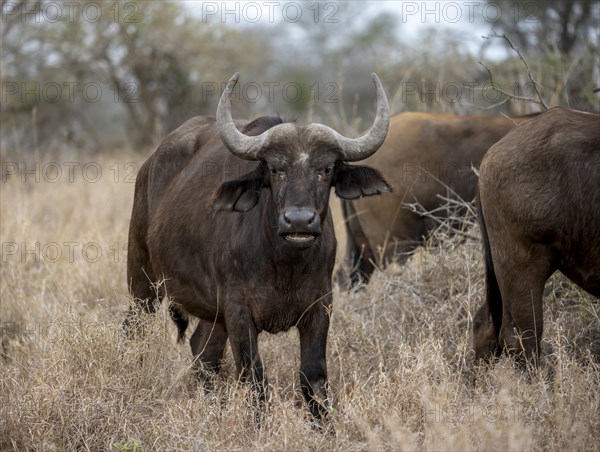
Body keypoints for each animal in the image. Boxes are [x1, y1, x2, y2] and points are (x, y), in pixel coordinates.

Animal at [123, 72, 394, 422]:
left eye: (326, 170)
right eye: (276, 170)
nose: (298, 221)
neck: (283, 265)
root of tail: (150, 165)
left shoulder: (320, 306)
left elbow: (313, 377)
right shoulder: (239, 311)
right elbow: (254, 379)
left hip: (211, 311)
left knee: (203, 352)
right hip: (142, 282)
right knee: (136, 332)